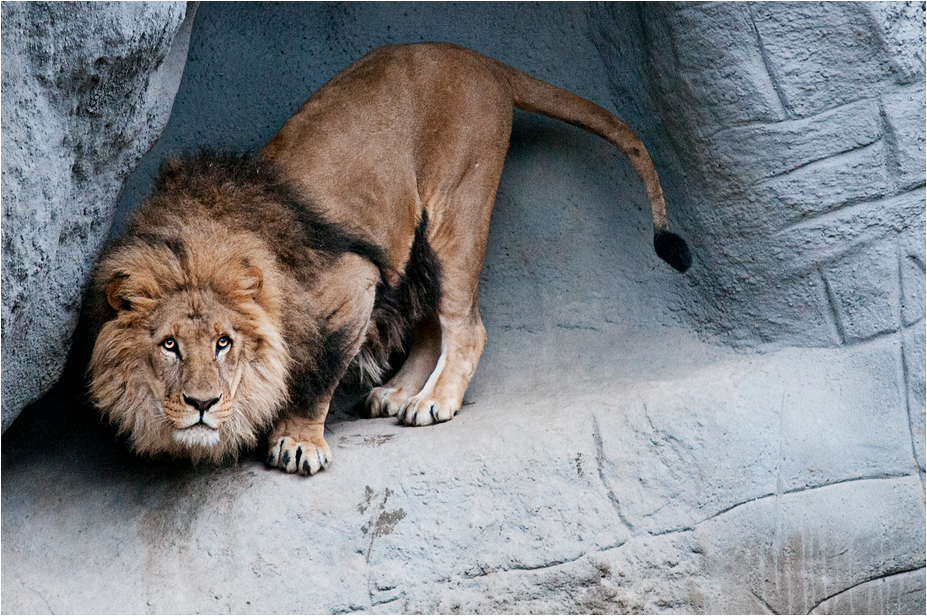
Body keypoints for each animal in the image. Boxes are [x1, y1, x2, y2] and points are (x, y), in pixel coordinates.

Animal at [89, 43, 690, 475]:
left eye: (223, 343)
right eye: (168, 345)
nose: (202, 403)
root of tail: (484, 61)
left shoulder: (351, 283)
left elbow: (319, 372)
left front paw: (297, 443)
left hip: (457, 212)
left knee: (466, 325)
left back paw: (434, 402)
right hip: (417, 245)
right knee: (427, 321)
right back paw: (400, 392)